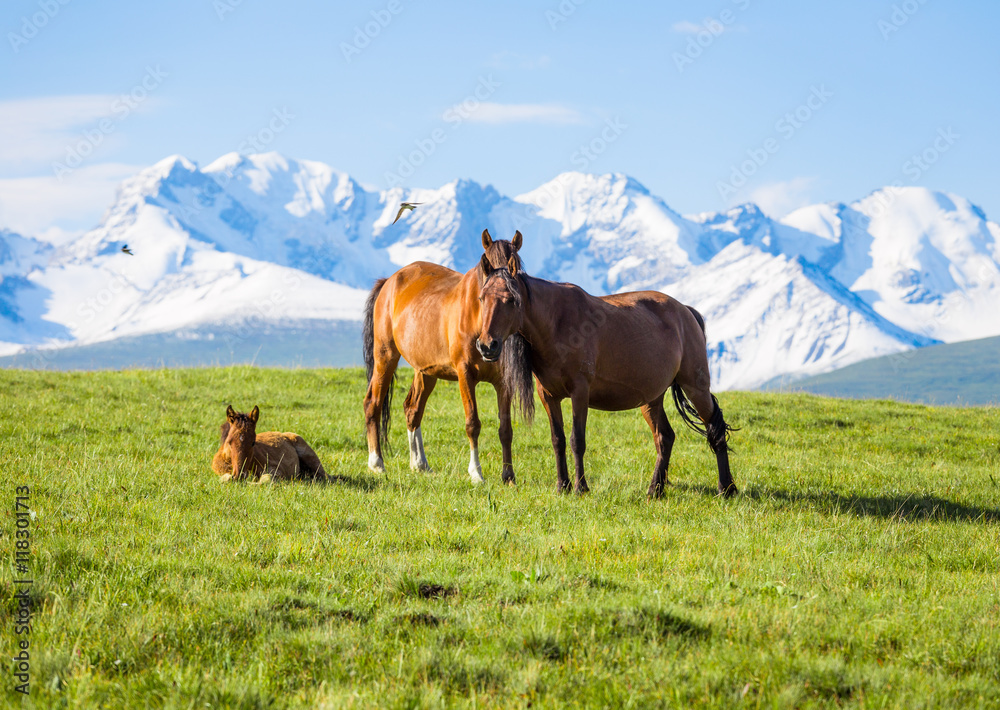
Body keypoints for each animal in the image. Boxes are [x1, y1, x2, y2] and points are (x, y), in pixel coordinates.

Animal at [360, 231, 532, 486]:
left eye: (516, 270)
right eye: (482, 295)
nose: (488, 346)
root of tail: (389, 281)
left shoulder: (504, 383)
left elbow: (505, 429)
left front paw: (508, 476)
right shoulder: (465, 373)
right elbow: (472, 424)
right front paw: (476, 474)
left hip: (425, 370)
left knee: (412, 409)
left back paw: (420, 464)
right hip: (385, 356)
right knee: (373, 402)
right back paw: (377, 464)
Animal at [472, 248, 740, 498]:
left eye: (511, 300)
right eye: (481, 298)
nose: (487, 346)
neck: (557, 324)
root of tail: (685, 311)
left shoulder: (580, 393)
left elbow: (577, 441)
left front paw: (580, 487)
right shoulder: (548, 396)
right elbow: (558, 440)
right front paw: (562, 486)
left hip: (695, 387)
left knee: (714, 429)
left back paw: (726, 488)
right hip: (652, 399)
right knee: (665, 437)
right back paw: (655, 490)